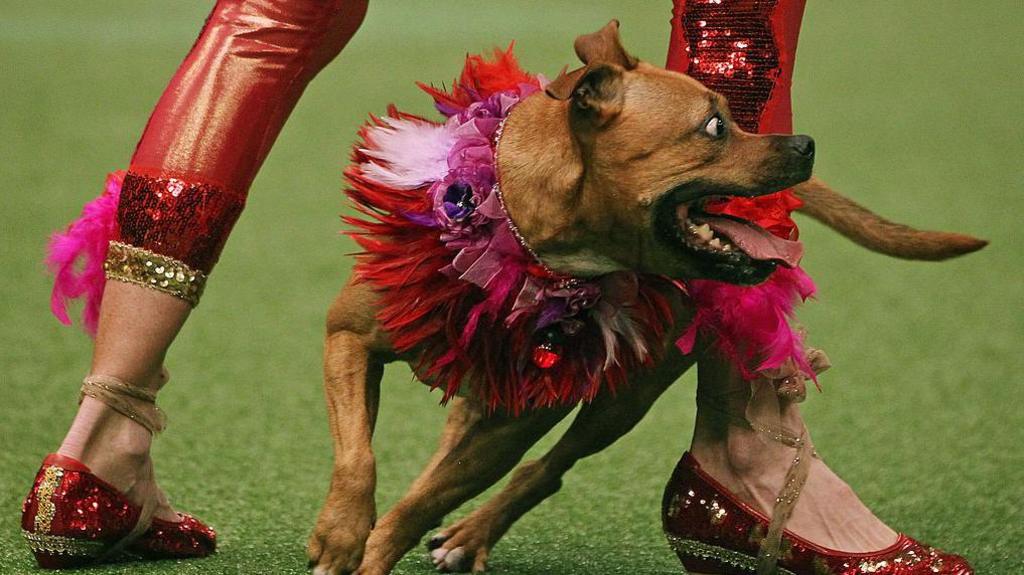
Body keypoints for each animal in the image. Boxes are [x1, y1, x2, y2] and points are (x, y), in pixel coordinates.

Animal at [305, 22, 983, 572]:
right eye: (714, 126)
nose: (805, 144)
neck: (528, 243)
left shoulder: (517, 425)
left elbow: (425, 501)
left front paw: (370, 550)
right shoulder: (349, 339)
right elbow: (358, 459)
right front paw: (343, 535)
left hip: (620, 402)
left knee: (543, 470)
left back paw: (470, 534)